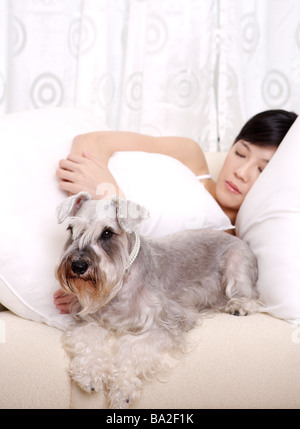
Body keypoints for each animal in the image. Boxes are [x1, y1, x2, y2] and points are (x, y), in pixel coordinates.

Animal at [55, 191, 260, 408]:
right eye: (71, 229)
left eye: (107, 233)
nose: (78, 265)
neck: (121, 282)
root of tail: (237, 238)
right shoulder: (91, 321)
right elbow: (88, 339)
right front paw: (89, 374)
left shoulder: (165, 324)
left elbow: (132, 348)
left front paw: (121, 389)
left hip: (236, 267)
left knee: (249, 293)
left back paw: (240, 306)